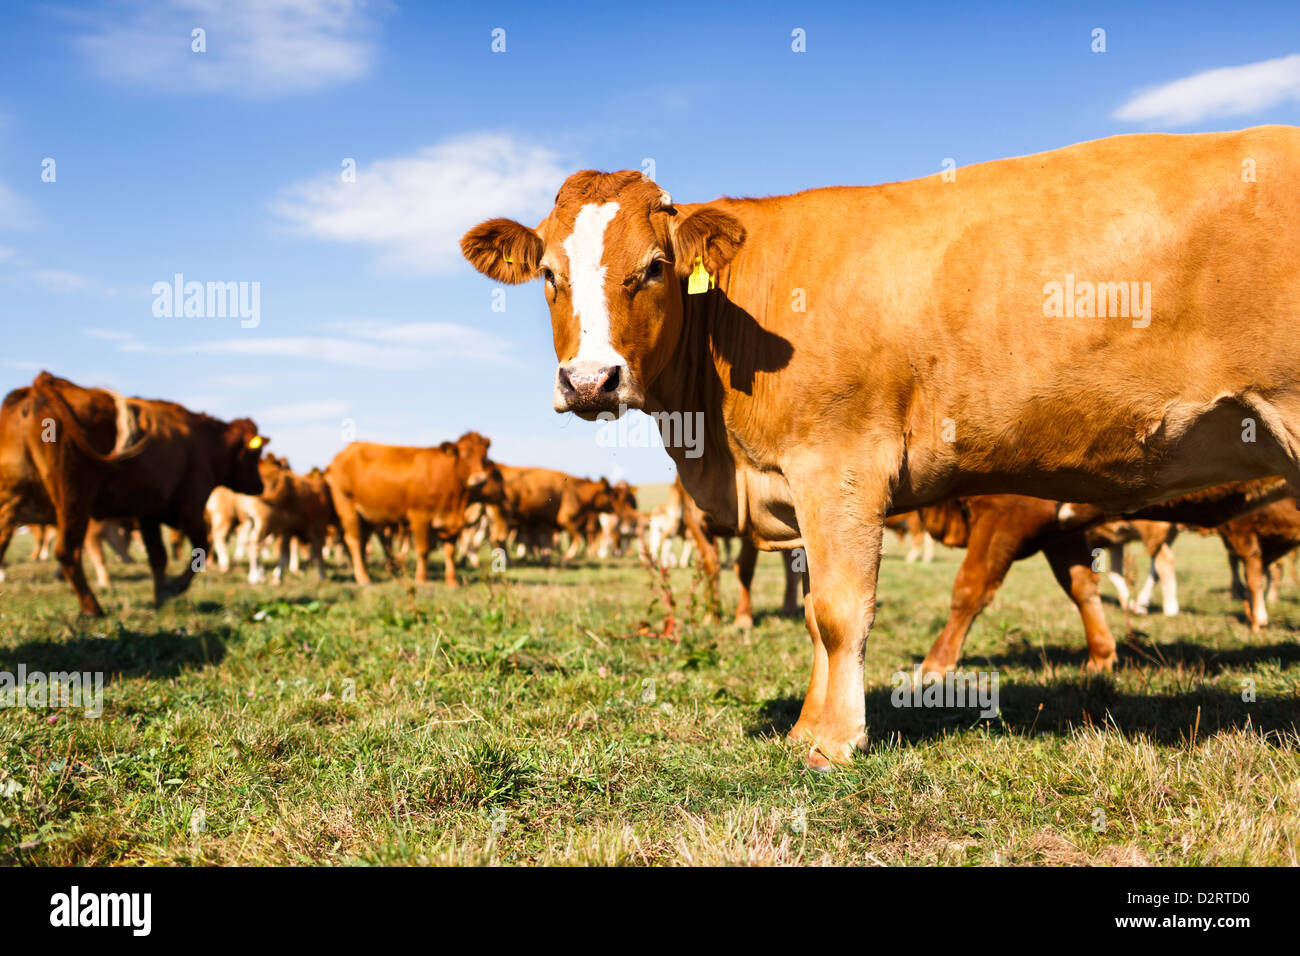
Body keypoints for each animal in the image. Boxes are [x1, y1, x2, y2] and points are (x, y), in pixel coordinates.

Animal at [0, 372, 264, 616]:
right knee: (68, 552)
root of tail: (41, 386)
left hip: (11, 500)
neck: (205, 443)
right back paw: (92, 608)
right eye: (255, 453)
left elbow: (158, 557)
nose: (260, 486)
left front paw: (160, 596)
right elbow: (200, 548)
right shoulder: (191, 507)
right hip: (73, 499)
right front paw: (175, 587)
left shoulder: (149, 513)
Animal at [325, 432, 496, 587]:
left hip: (367, 517)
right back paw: (363, 579)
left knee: (362, 543)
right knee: (354, 541)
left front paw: (452, 581)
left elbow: (450, 552)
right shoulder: (420, 515)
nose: (480, 479)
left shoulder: (451, 524)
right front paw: (421, 579)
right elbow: (423, 550)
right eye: (465, 455)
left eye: (484, 457)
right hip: (348, 509)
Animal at [463, 127, 1300, 768]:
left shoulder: (840, 466)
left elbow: (839, 609)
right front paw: (809, 725)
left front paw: (832, 741)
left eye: (654, 268)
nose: (590, 380)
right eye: (548, 274)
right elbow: (814, 614)